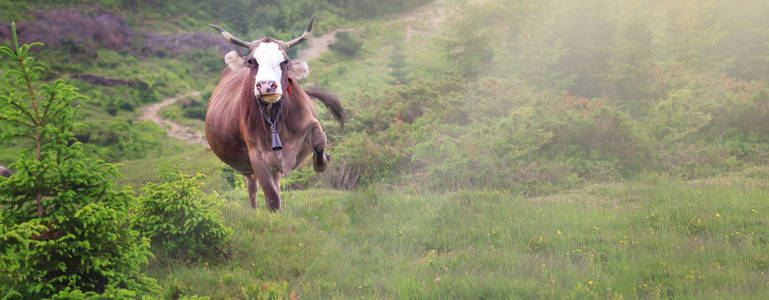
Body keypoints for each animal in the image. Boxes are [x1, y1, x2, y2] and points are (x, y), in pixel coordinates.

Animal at [208, 18, 344, 211]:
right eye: (251, 61)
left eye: (284, 61)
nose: (266, 85)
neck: (274, 119)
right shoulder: (257, 156)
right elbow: (272, 198)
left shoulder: (309, 122)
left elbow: (320, 139)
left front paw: (322, 163)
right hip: (250, 168)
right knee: (253, 189)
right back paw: (254, 210)